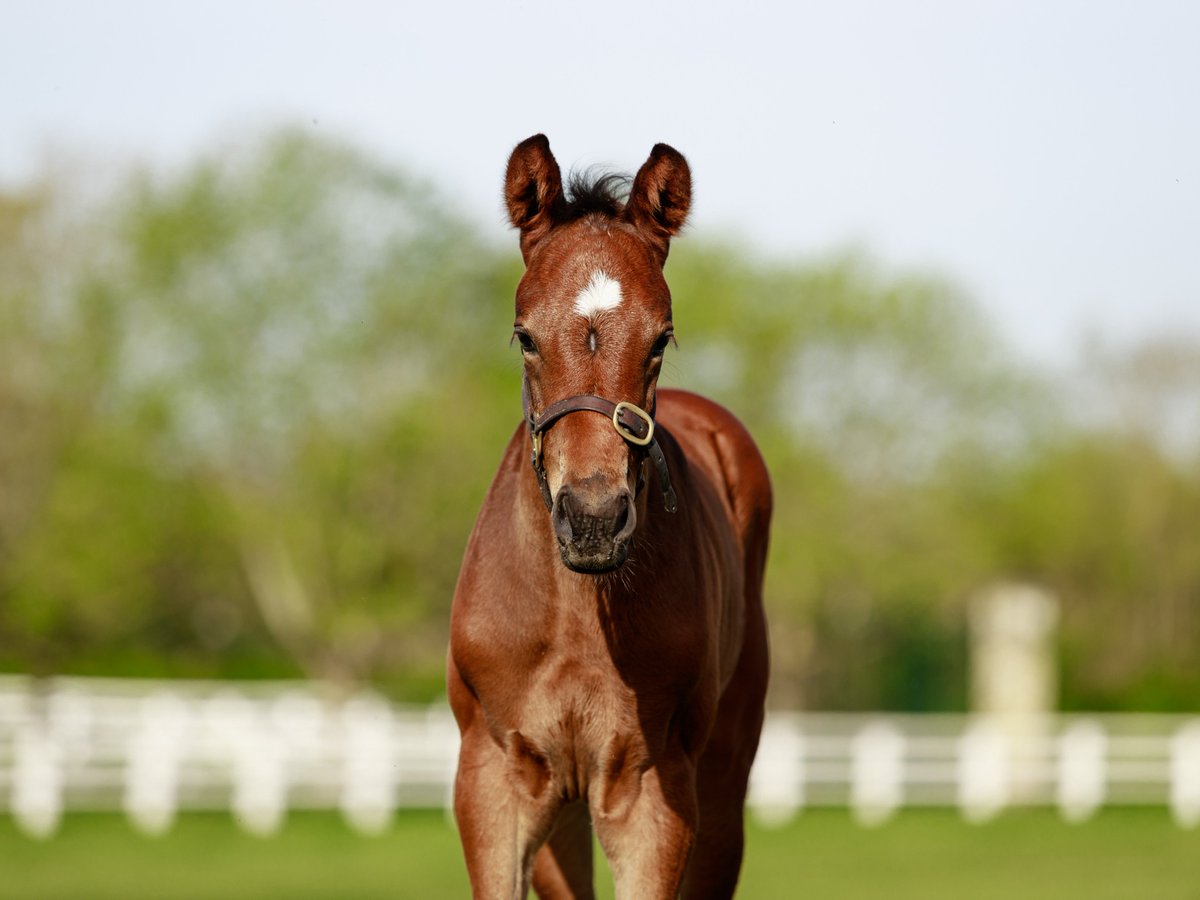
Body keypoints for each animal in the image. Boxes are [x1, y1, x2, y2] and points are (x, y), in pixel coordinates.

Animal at [448, 135, 768, 900]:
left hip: (723, 782)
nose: (593, 519)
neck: (575, 614)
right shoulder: (493, 777)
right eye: (525, 335)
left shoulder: (652, 786)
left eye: (661, 338)